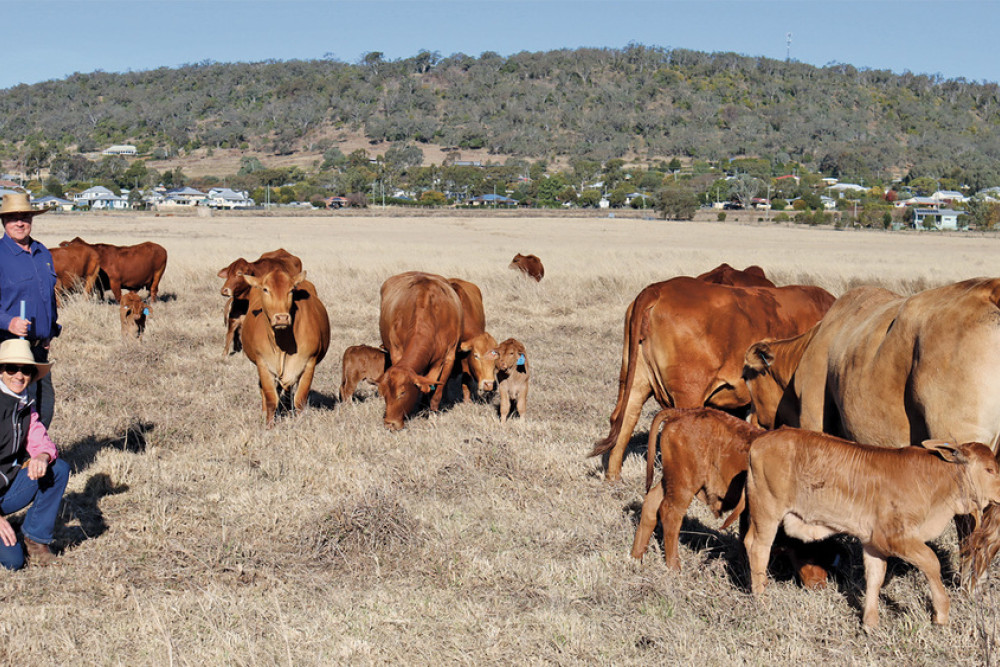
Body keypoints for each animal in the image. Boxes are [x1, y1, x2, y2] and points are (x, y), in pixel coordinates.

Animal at [239, 268, 330, 428]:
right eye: (265, 289)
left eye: (291, 290)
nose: (282, 318)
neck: (282, 344)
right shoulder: (263, 364)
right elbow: (270, 398)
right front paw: (269, 426)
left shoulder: (309, 363)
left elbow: (300, 399)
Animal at [378, 272, 464, 434]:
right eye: (383, 392)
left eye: (403, 393)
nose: (389, 424)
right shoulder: (396, 352)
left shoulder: (446, 359)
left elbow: (436, 390)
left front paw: (432, 412)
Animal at [632, 408, 756, 568]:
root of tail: (682, 412)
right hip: (685, 484)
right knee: (670, 513)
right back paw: (674, 566)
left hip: (672, 479)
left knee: (652, 502)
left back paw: (636, 556)